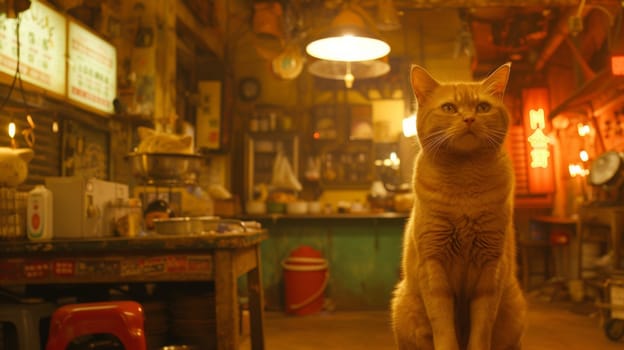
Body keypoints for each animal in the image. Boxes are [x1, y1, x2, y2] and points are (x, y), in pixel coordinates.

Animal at [392, 63, 524, 350]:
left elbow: (481, 331)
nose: (469, 119)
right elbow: (443, 328)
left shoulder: (490, 268)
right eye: (449, 108)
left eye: (483, 107)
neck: (464, 179)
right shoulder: (433, 266)